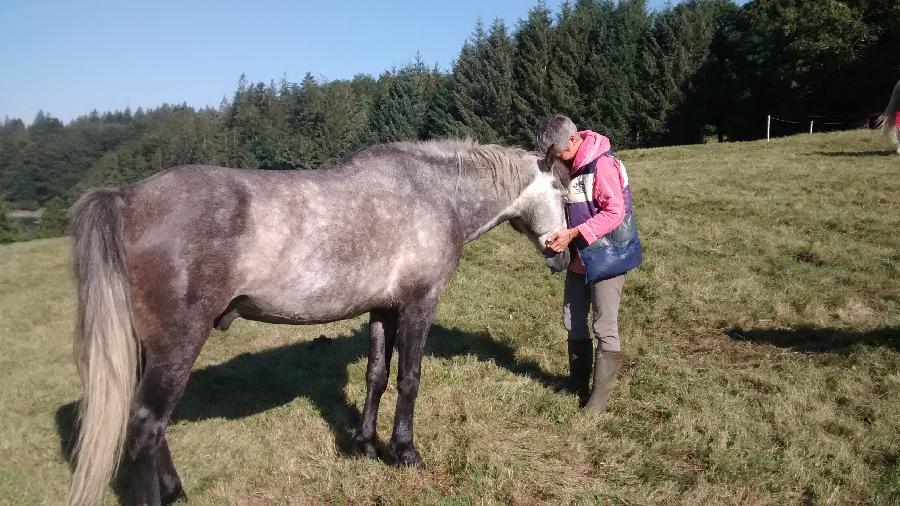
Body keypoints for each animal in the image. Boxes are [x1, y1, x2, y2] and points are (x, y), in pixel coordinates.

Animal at [68, 139, 568, 506]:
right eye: (564, 193)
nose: (563, 255)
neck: (432, 194)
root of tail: (125, 198)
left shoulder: (383, 309)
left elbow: (376, 375)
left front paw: (365, 445)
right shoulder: (418, 305)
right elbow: (409, 379)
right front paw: (405, 452)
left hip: (152, 351)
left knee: (151, 427)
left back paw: (175, 490)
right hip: (177, 345)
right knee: (146, 426)